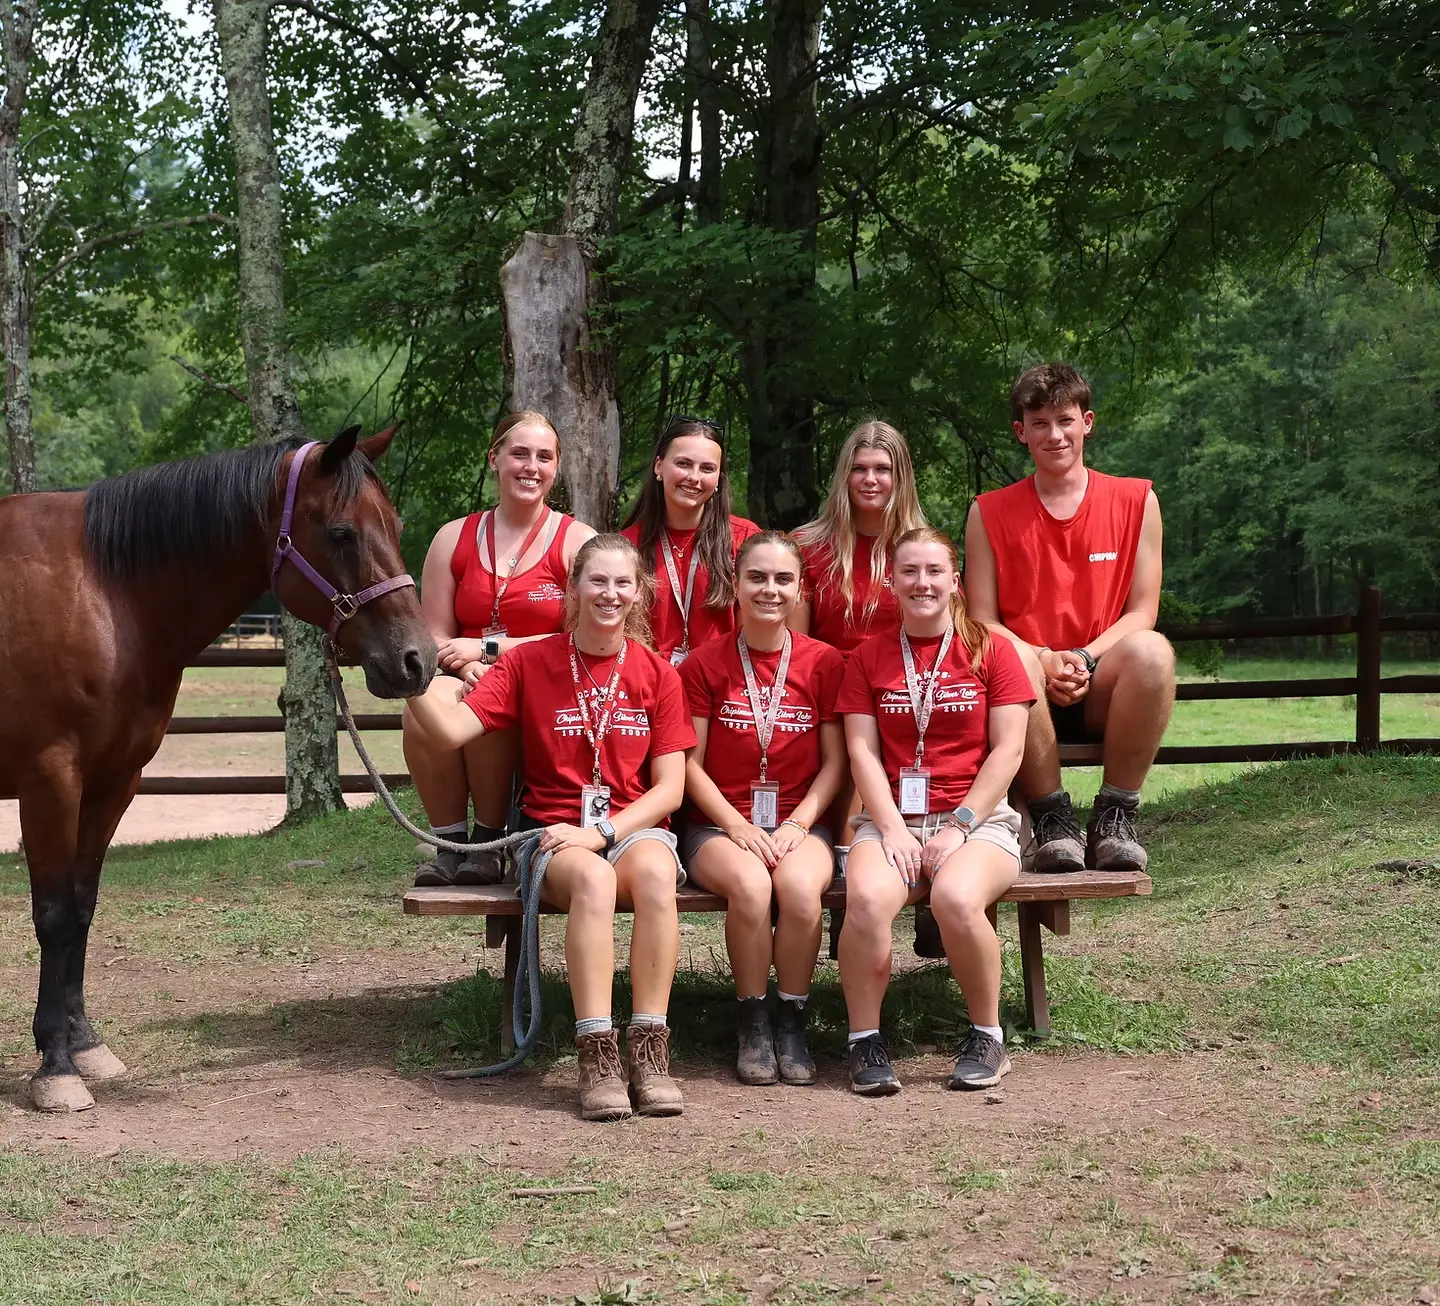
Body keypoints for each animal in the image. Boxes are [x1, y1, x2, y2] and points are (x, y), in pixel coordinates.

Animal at [0, 425, 435, 1112]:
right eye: (342, 533)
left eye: (393, 526)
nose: (418, 660)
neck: (101, 594)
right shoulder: (50, 780)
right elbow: (54, 914)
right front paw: (56, 1069)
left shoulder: (113, 781)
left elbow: (82, 909)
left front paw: (84, 1045)